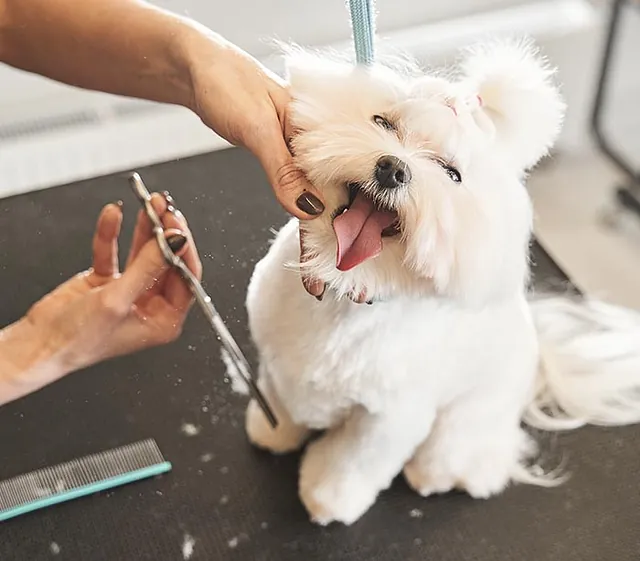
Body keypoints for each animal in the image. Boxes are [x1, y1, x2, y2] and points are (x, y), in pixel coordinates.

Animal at [242, 39, 640, 524]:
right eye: (383, 123)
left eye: (451, 174)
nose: (393, 168)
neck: (347, 293)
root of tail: (538, 360)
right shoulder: (277, 359)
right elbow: (278, 397)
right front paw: (273, 429)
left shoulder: (390, 420)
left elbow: (352, 462)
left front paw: (327, 497)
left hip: (464, 425)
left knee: (465, 461)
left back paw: (439, 477)